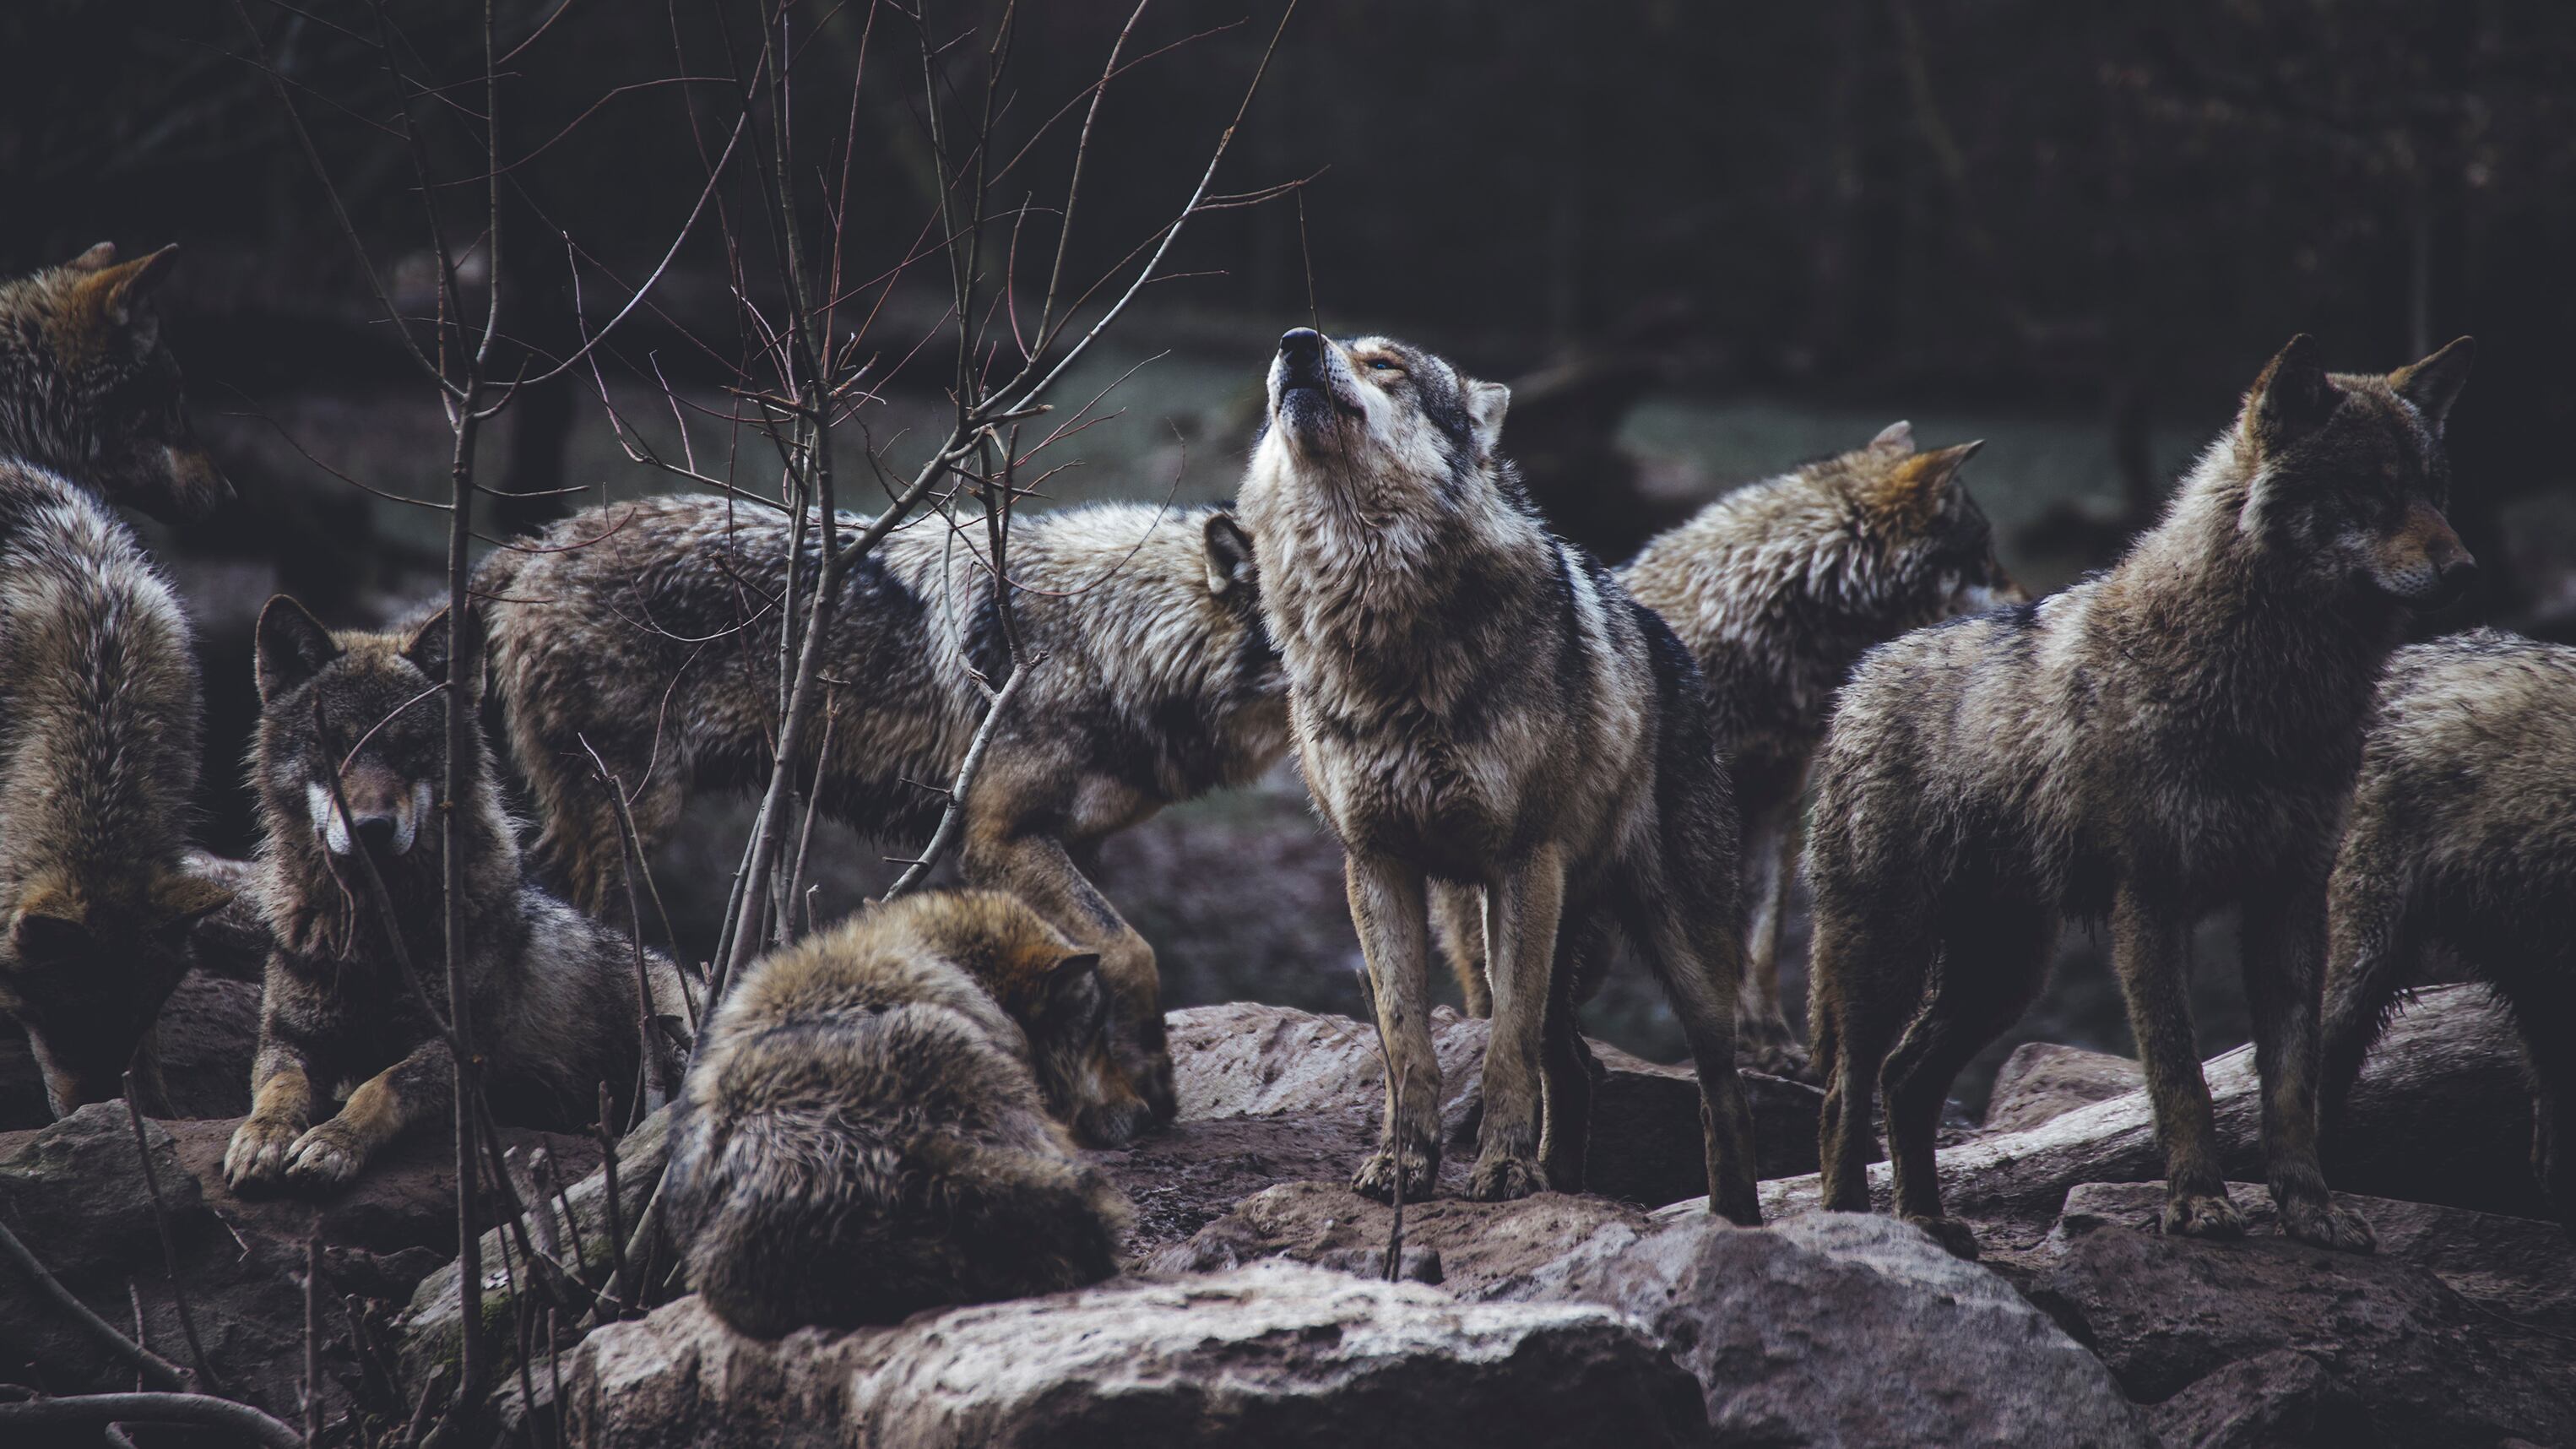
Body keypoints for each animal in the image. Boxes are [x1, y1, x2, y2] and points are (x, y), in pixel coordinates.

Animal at [223, 598, 689, 1192]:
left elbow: (380, 1087)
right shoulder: (290, 1039)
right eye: (336, 744)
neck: (377, 933)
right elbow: (281, 1088)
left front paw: (333, 1142)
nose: (371, 828)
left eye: (411, 746)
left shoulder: (460, 1052)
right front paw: (261, 1138)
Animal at [478, 495, 1285, 1135]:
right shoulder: (999, 838)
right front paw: (1150, 1085)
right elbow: (1131, 950)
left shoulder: (1073, 844)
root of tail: (538, 542)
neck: (1109, 636)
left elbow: (1092, 967)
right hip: (634, 819)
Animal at [1238, 327, 1761, 1221]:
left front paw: (1506, 1174)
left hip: (1676, 949)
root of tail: (1668, 640)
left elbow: (1503, 1050)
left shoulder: (1521, 861)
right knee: (1578, 1068)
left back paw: (1733, 1220)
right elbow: (1405, 1042)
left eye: (1386, 364)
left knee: (1718, 1092)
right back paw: (1565, 1183)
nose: (1296, 343)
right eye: (1312, 344)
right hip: (1495, 930)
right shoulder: (1374, 864)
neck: (1377, 618)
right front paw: (1403, 1167)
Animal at [1442, 423, 2020, 1077]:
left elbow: (1760, 948)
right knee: (1491, 995)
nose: (2029, 602)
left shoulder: (1775, 805)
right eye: (1984, 556)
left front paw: (1770, 1044)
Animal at [1805, 334, 2476, 1257]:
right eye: (2371, 489)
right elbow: (2179, 1075)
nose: (2465, 569)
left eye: (2434, 490)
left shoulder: (2292, 901)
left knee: (1905, 1078)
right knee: (1848, 1087)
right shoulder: (2149, 902)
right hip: (1889, 956)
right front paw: (2198, 1205)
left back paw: (1928, 1224)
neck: (2269, 690)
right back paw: (1854, 1225)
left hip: (2005, 974)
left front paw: (2310, 1209)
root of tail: (1860, 675)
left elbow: (2292, 1086)